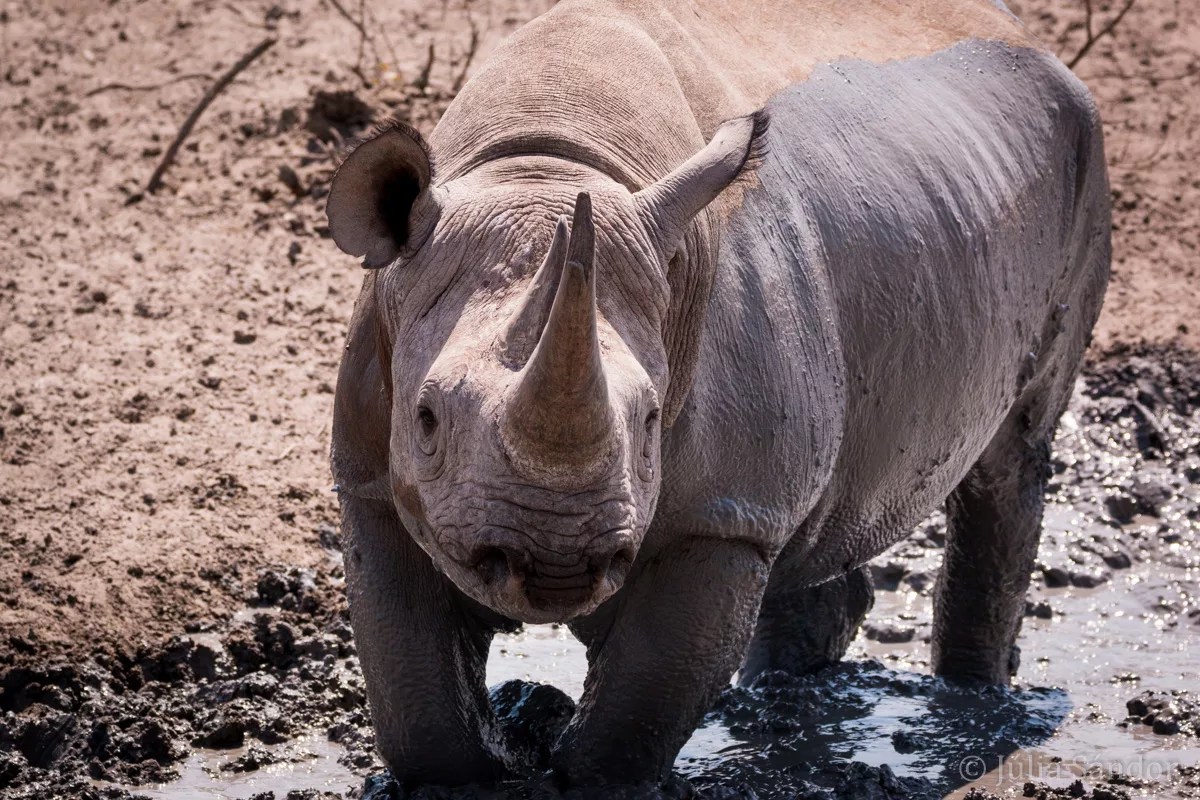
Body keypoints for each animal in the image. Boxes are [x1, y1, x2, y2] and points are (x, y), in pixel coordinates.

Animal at [327, 0, 1110, 787]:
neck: (543, 165)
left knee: (1013, 448)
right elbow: (418, 700)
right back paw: (788, 692)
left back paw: (970, 707)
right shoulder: (372, 477)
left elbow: (635, 713)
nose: (553, 559)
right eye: (426, 418)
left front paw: (576, 771)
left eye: (649, 421)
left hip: (1084, 157)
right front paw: (490, 761)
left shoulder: (720, 519)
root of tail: (1032, 41)